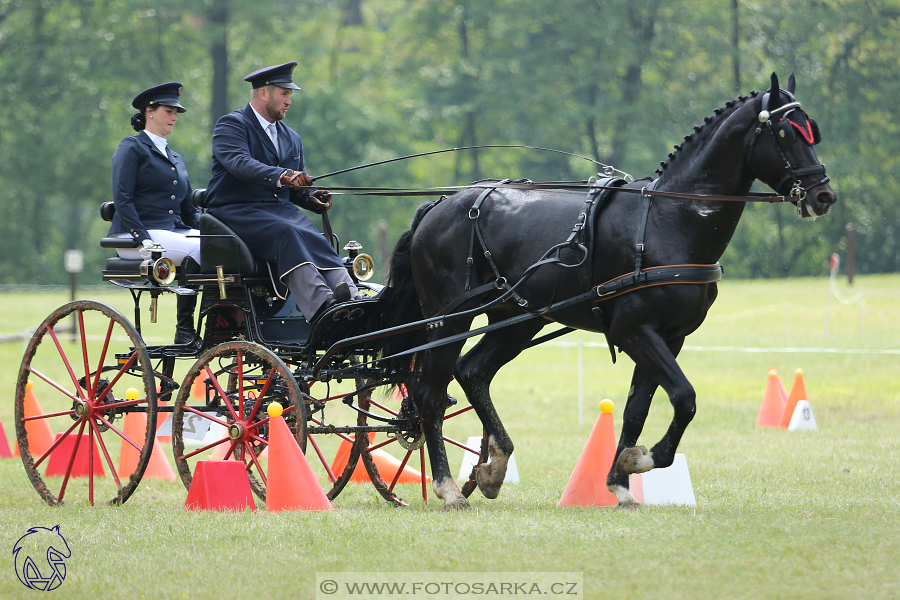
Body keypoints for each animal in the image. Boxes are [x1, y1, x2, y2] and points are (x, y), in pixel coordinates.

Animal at [382, 72, 836, 508]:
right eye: (786, 132)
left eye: (812, 129)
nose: (824, 195)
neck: (670, 219)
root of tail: (440, 205)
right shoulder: (633, 330)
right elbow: (684, 397)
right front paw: (643, 458)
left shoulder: (670, 337)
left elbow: (638, 409)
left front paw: (621, 480)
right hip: (448, 320)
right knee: (429, 394)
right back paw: (448, 488)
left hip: (516, 319)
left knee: (472, 372)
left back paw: (493, 467)